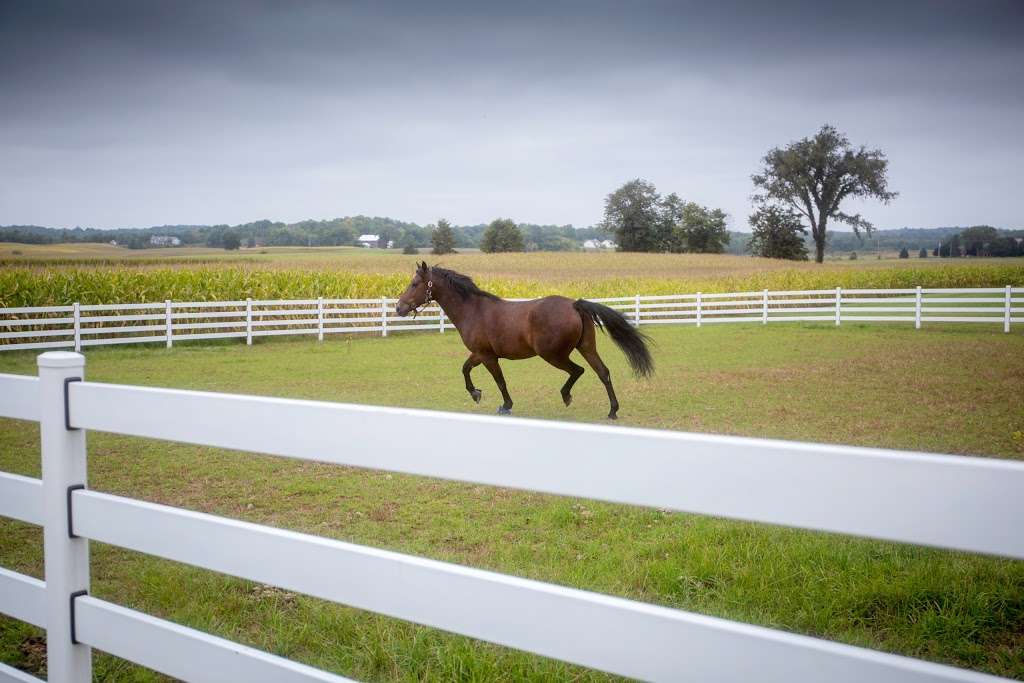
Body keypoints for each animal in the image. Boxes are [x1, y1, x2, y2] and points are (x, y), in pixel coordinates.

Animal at [395, 262, 651, 419]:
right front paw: (476, 393)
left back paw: (567, 396)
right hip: (586, 348)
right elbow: (465, 369)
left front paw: (505, 406)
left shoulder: (488, 357)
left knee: (577, 371)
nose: (399, 308)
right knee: (603, 372)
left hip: (554, 355)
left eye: (414, 284)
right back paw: (612, 411)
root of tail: (575, 304)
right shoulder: (480, 354)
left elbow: (500, 382)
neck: (473, 310)